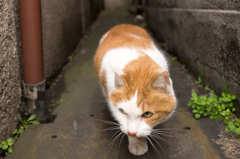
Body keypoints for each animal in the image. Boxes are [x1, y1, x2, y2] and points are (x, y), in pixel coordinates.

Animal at [94, 24, 176, 156]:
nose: (131, 133)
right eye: (122, 111)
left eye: (147, 114)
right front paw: (137, 142)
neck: (140, 68)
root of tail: (122, 25)